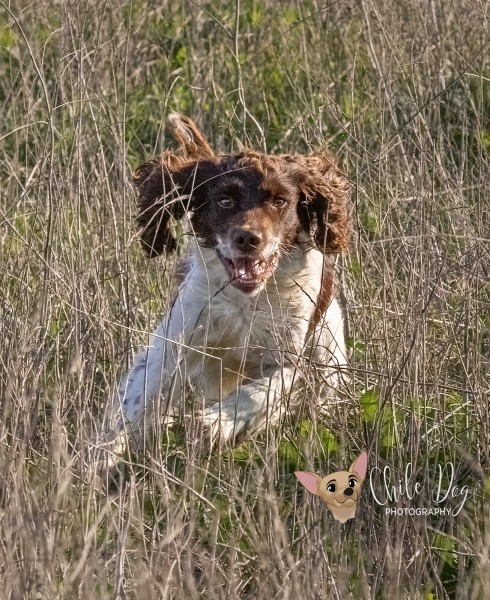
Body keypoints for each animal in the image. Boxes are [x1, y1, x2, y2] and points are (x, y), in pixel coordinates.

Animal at [105, 115, 350, 458]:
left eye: (280, 201)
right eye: (225, 200)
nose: (248, 239)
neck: (246, 301)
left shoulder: (287, 359)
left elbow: (260, 392)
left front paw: (215, 423)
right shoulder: (175, 341)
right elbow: (137, 398)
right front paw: (101, 455)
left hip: (328, 355)